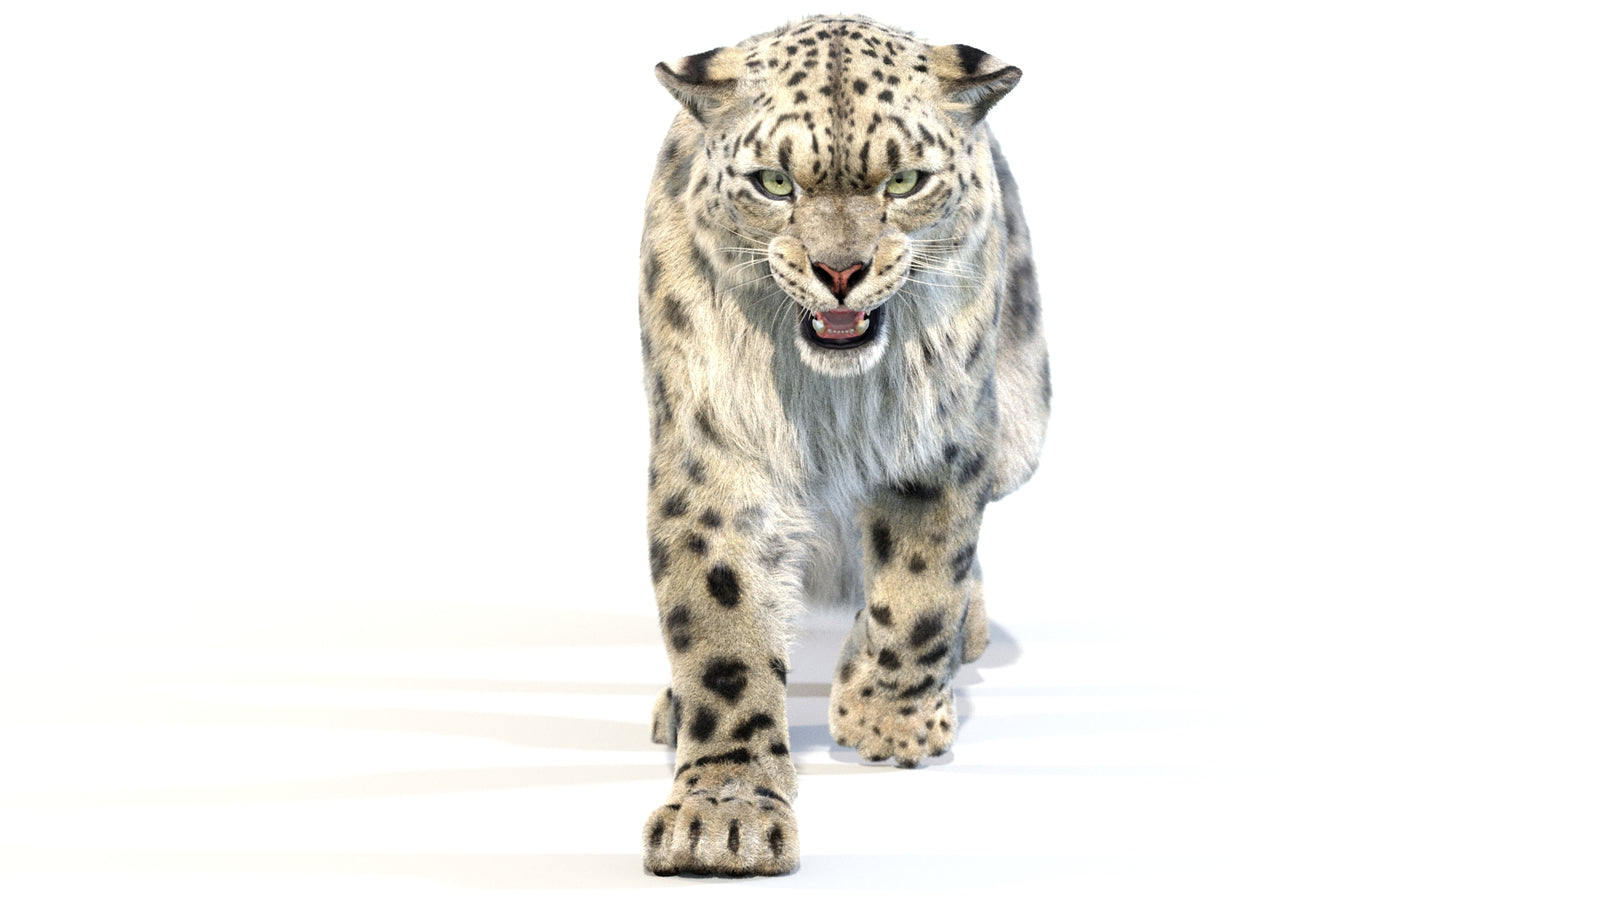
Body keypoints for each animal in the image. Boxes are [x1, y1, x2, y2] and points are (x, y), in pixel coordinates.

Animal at [636, 14, 1050, 876]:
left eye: (904, 182)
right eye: (773, 183)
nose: (839, 271)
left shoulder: (940, 438)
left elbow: (921, 585)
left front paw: (887, 722)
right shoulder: (715, 459)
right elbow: (723, 633)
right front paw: (721, 816)